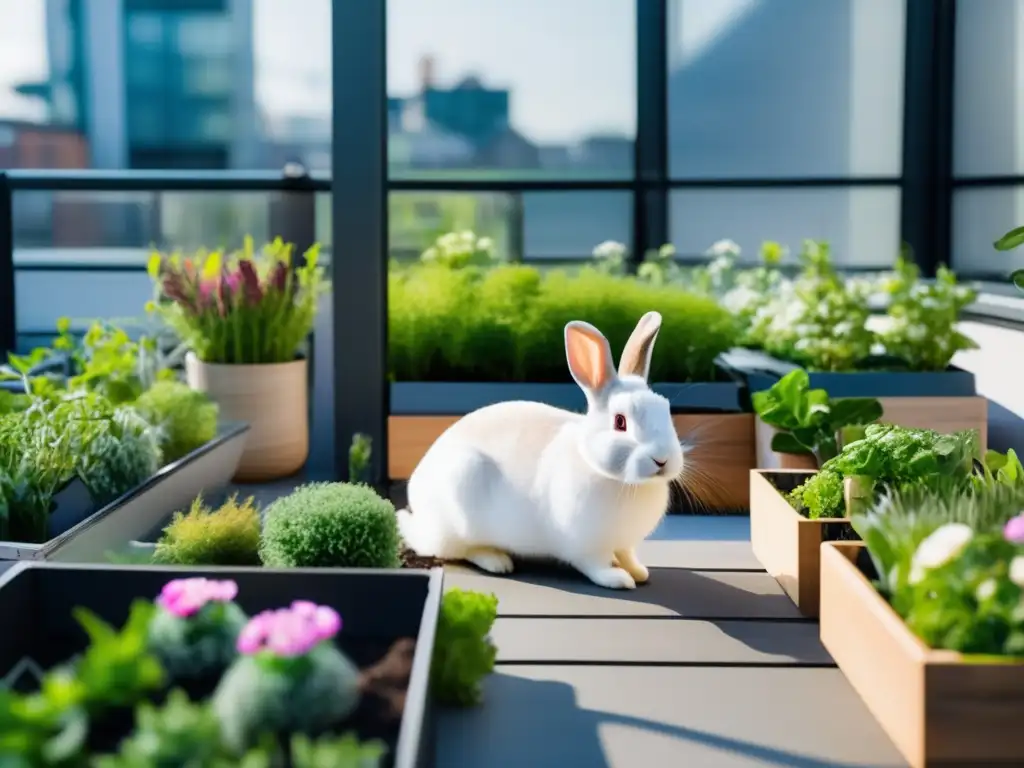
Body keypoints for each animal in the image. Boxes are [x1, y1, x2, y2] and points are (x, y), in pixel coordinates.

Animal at [395, 309, 684, 593]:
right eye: (620, 422)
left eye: (666, 409)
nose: (662, 460)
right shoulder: (586, 546)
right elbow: (597, 565)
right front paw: (618, 578)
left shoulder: (626, 543)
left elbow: (627, 555)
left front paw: (639, 571)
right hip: (461, 498)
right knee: (460, 550)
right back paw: (497, 561)